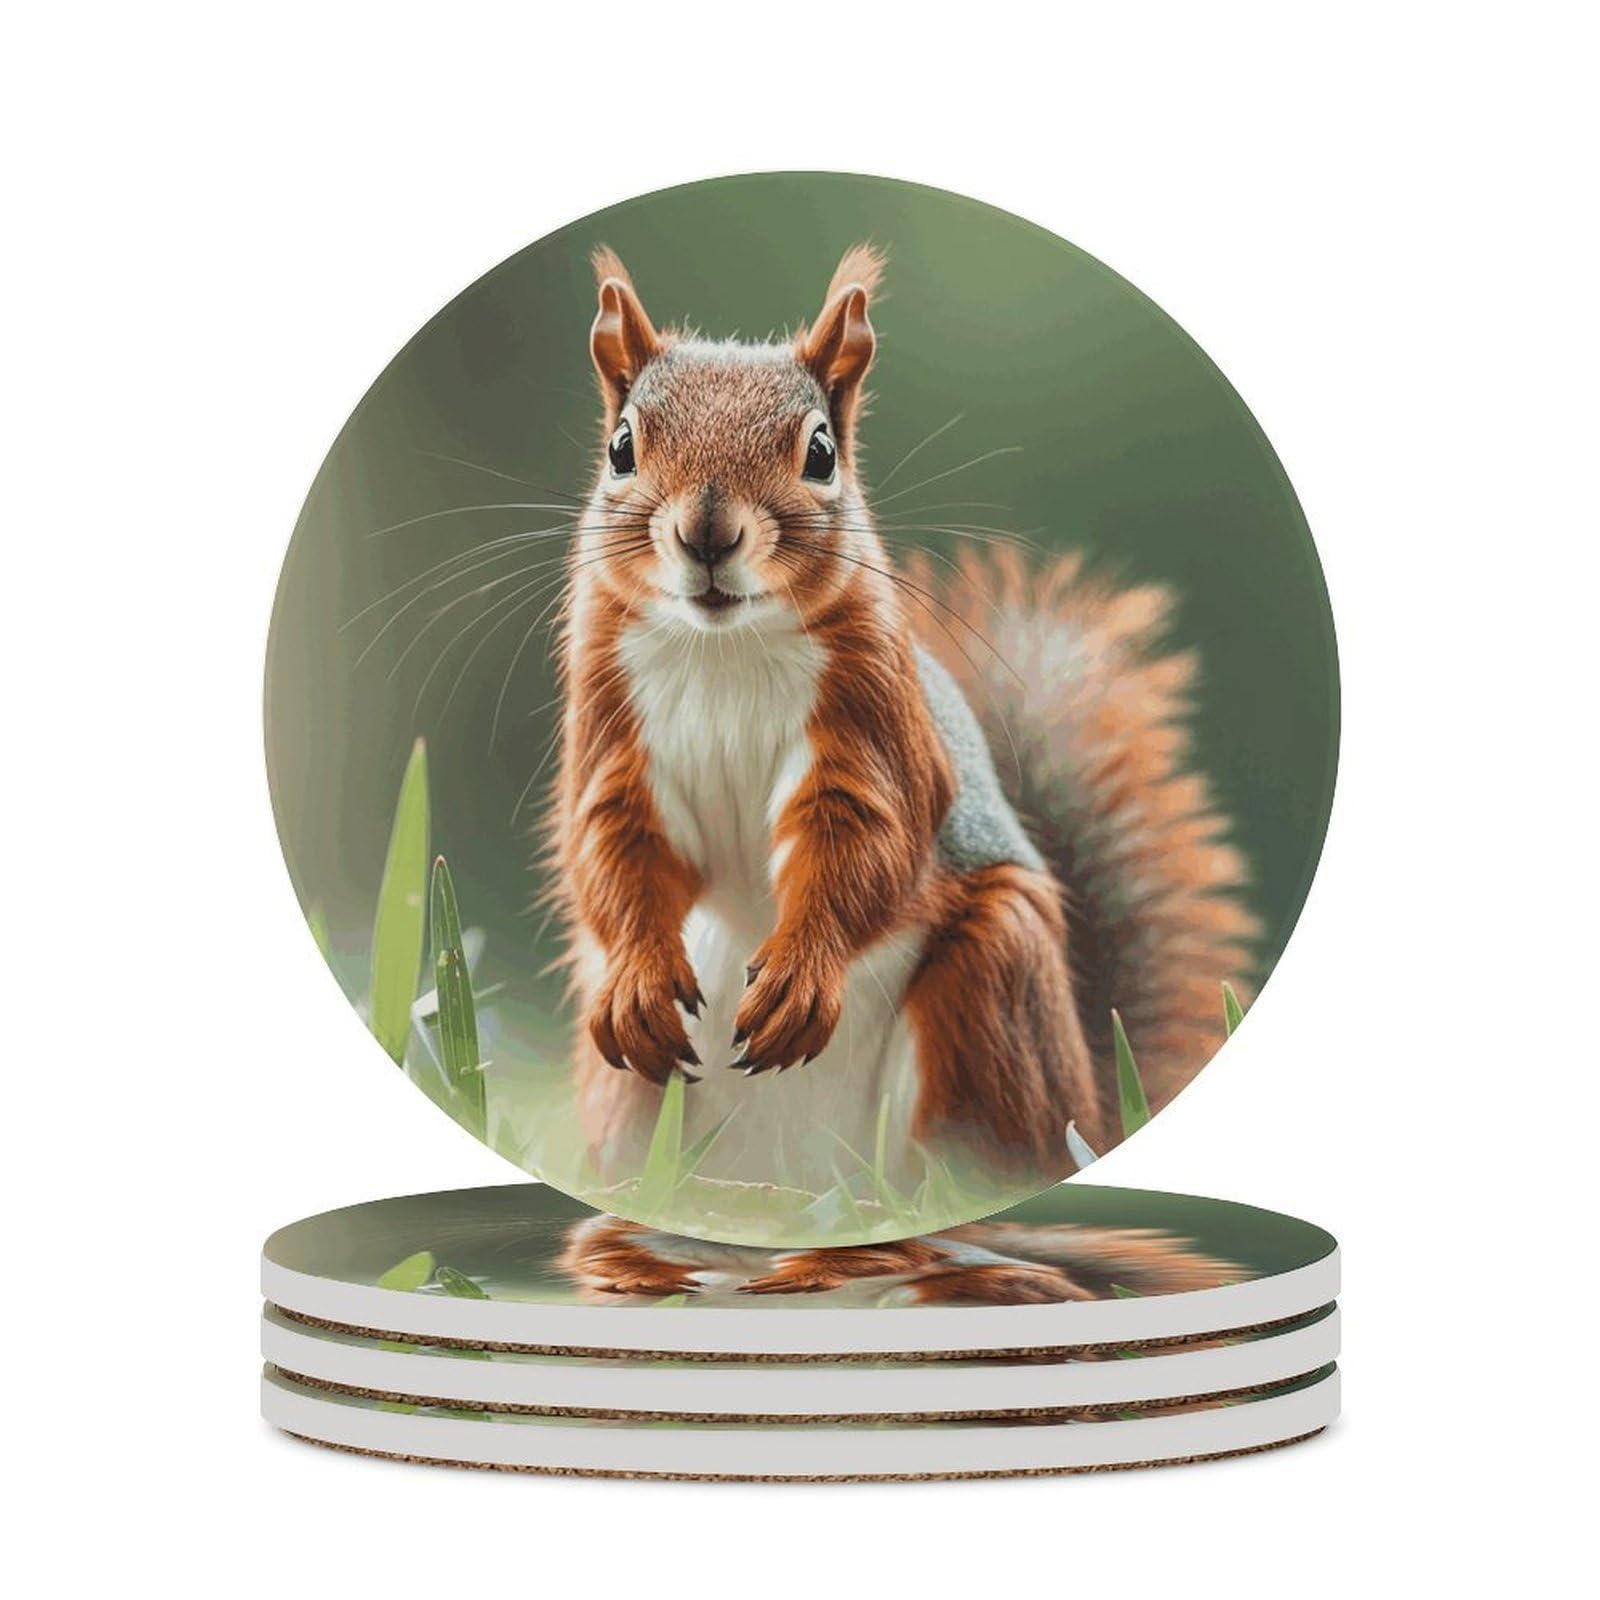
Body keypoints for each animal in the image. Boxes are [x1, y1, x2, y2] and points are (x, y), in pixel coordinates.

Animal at [552, 244, 1256, 1197]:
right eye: (621, 447)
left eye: (820, 453)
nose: (707, 535)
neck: (725, 647)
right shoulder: (608, 717)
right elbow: (608, 844)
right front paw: (635, 977)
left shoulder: (872, 717)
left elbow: (872, 838)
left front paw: (802, 977)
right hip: (630, 1099)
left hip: (993, 986)